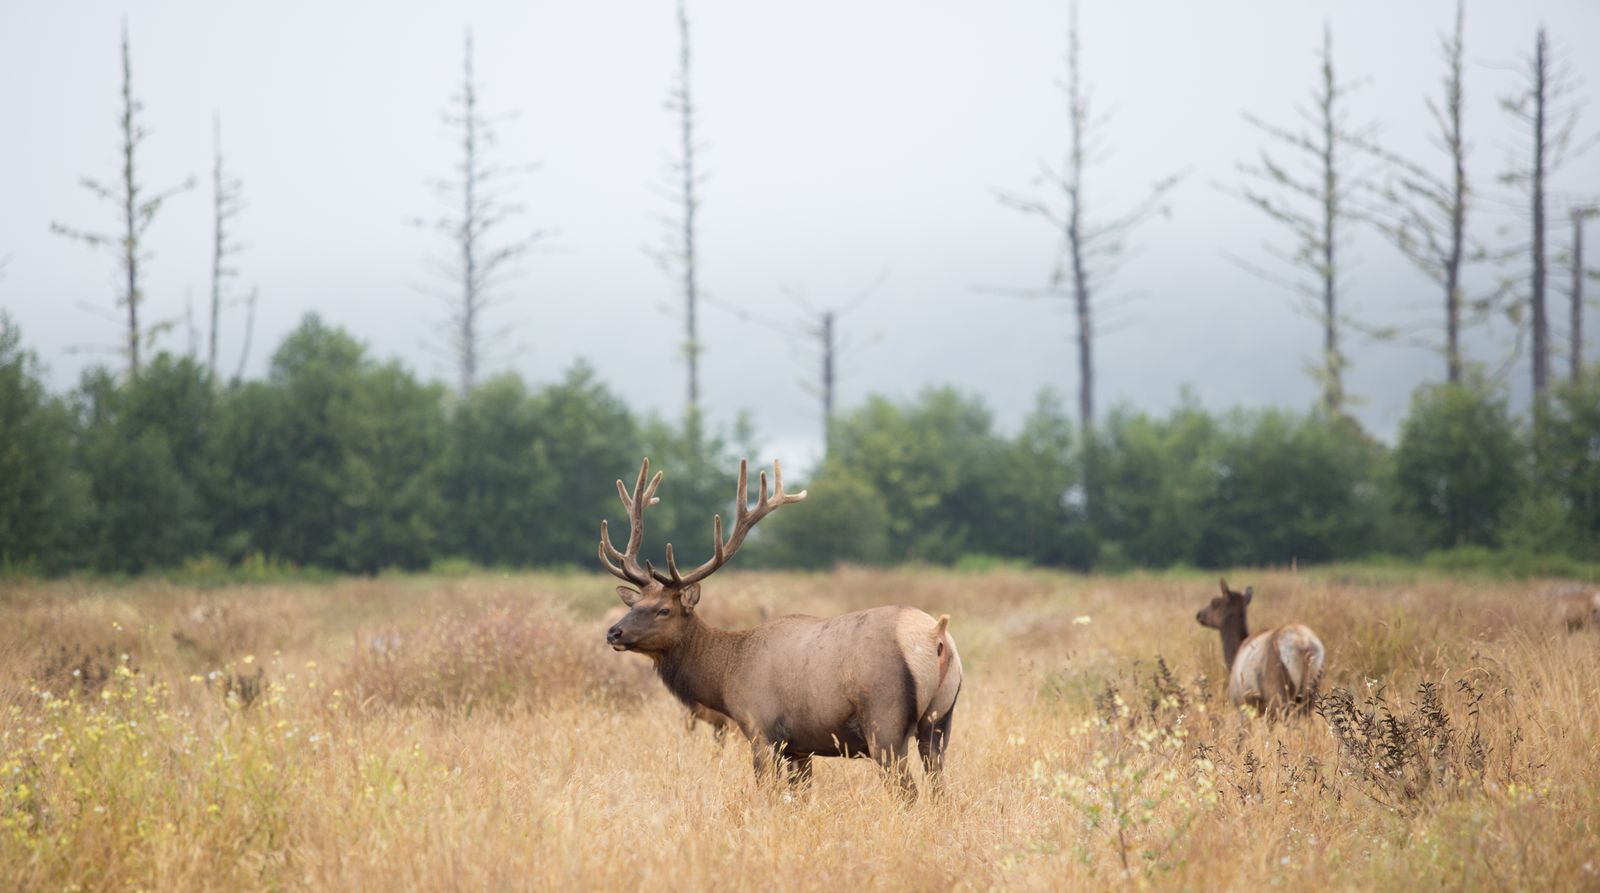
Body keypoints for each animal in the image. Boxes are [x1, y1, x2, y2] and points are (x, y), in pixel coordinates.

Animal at [600, 457, 962, 797]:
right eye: (633, 605)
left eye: (663, 610)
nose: (613, 632)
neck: (726, 677)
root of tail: (936, 634)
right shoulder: (799, 747)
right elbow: (800, 794)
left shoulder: (760, 728)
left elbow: (768, 791)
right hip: (940, 721)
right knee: (939, 787)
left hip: (885, 721)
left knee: (908, 791)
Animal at [1194, 579, 1324, 718]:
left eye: (1215, 602)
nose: (1199, 614)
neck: (1233, 657)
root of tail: (1304, 646)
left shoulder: (1241, 703)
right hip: (1311, 691)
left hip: (1277, 691)